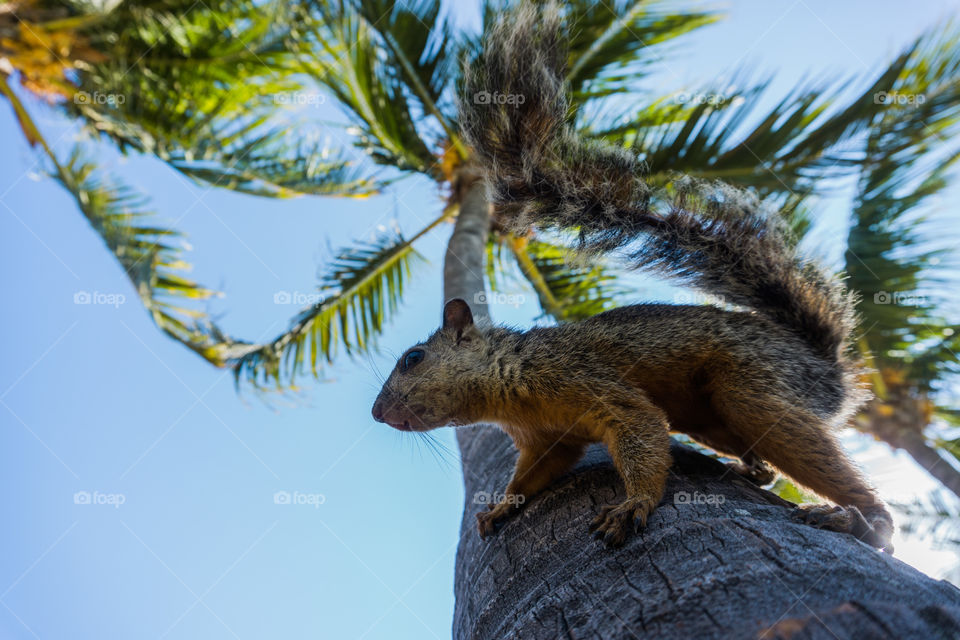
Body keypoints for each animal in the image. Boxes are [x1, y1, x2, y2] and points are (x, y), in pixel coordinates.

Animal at [370, 3, 892, 552]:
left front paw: (634, 504)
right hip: (707, 416)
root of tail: (823, 366)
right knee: (757, 458)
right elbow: (534, 475)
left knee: (802, 443)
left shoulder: (586, 378)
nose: (377, 413)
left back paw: (860, 520)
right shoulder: (545, 442)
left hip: (754, 383)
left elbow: (640, 428)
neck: (508, 389)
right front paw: (500, 508)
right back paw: (754, 471)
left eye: (413, 358)